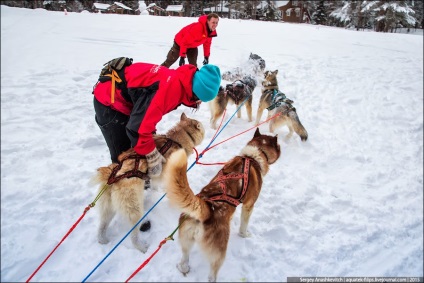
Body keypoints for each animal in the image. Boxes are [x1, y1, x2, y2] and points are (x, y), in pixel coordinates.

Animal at [91, 113, 205, 253]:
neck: (178, 139)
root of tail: (112, 178)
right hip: (134, 211)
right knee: (133, 237)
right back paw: (142, 247)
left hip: (108, 209)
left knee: (102, 226)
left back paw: (103, 239)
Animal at [164, 128, 280, 282]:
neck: (253, 158)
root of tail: (205, 209)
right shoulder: (248, 205)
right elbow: (244, 226)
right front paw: (245, 234)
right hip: (219, 253)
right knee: (212, 274)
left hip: (186, 239)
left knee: (184, 260)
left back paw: (183, 267)